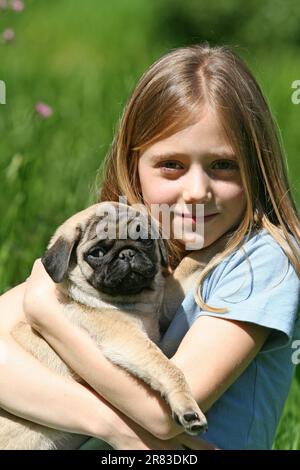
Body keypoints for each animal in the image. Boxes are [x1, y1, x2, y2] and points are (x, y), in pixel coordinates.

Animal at [0, 203, 207, 452]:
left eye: (146, 240)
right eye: (97, 253)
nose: (127, 253)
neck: (132, 301)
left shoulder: (163, 304)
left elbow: (189, 266)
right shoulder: (129, 340)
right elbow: (167, 367)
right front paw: (188, 408)